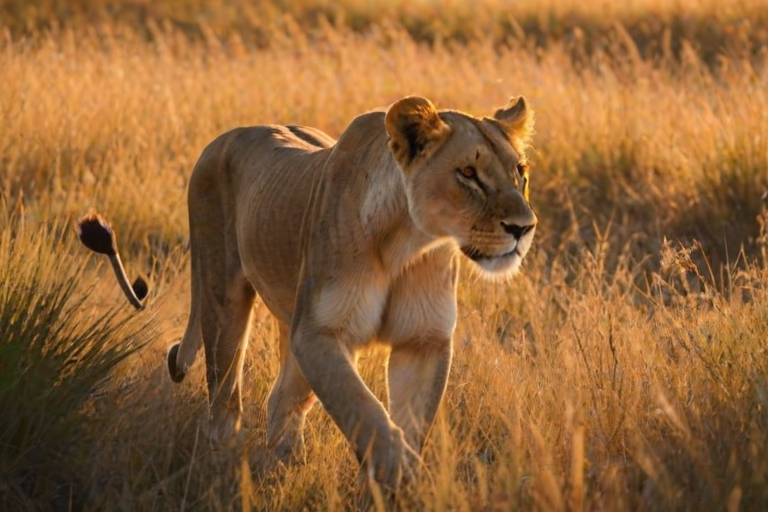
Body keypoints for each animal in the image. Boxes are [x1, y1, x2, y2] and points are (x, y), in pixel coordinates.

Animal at [78, 95, 537, 492]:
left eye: (521, 171)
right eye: (468, 174)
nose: (524, 227)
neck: (409, 244)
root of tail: (223, 138)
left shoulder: (423, 341)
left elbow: (407, 422)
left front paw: (397, 490)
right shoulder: (317, 332)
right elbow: (363, 408)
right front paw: (401, 471)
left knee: (281, 398)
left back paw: (284, 465)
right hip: (222, 297)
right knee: (224, 399)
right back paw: (229, 469)